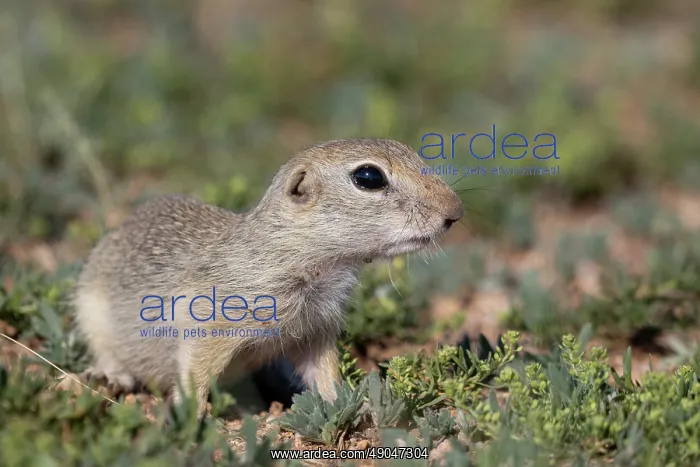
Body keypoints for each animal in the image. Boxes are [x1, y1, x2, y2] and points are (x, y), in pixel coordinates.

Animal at [73, 138, 465, 414]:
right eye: (368, 177)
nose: (456, 211)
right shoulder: (216, 321)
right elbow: (195, 370)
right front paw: (190, 419)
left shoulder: (315, 332)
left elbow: (324, 374)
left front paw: (351, 407)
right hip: (90, 311)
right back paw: (109, 376)